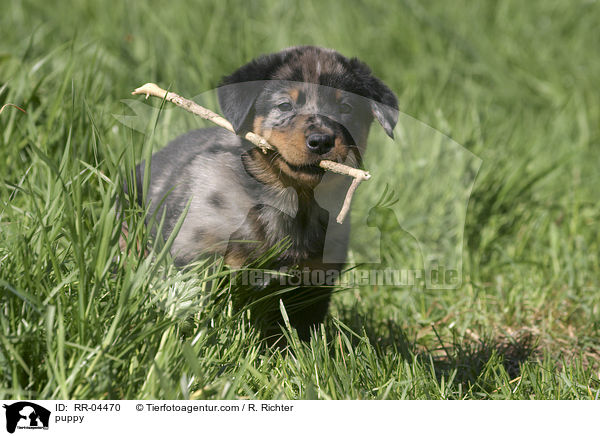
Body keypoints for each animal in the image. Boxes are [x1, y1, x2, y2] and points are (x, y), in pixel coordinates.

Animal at [127, 46, 398, 340]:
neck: (292, 200)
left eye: (345, 108)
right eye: (285, 106)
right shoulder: (196, 257)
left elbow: (298, 334)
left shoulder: (314, 283)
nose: (321, 141)